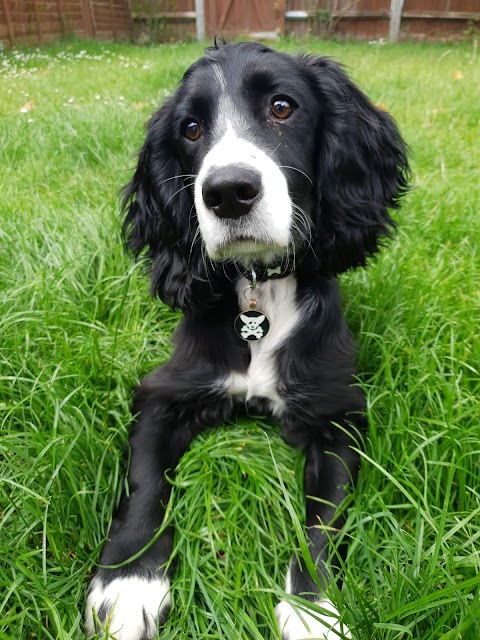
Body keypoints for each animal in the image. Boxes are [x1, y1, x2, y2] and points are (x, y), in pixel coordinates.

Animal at [86, 41, 408, 640]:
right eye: (190, 128)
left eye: (282, 106)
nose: (229, 193)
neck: (259, 289)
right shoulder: (162, 394)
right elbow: (144, 485)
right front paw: (128, 585)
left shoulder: (340, 414)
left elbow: (324, 519)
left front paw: (312, 611)